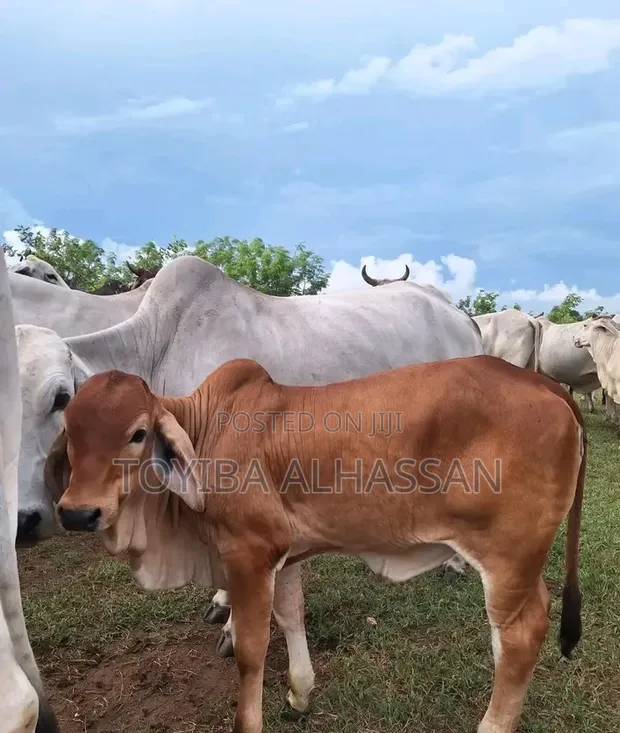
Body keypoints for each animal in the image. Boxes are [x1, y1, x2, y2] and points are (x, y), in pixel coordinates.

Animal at [47, 354, 586, 733]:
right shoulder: (282, 555)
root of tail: (543, 383)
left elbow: (251, 652)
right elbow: (291, 617)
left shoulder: (248, 552)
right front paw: (300, 696)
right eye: (68, 431)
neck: (209, 429)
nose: (77, 512)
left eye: (138, 433)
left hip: (507, 557)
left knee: (521, 634)